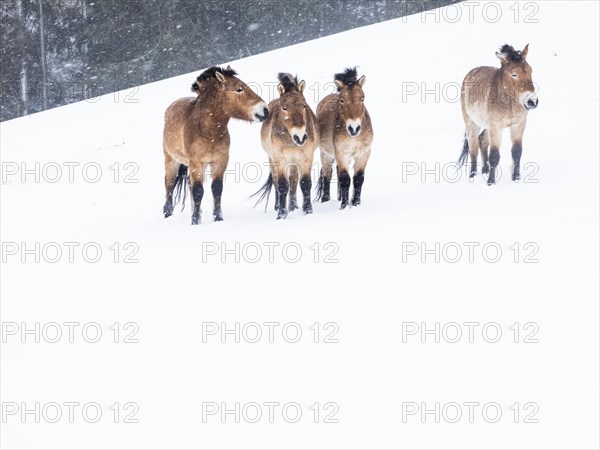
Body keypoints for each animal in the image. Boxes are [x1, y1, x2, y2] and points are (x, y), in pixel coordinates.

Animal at [163, 66, 268, 225]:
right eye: (239, 89)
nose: (265, 110)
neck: (208, 131)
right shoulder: (196, 163)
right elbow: (198, 191)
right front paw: (195, 222)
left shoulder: (220, 160)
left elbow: (216, 188)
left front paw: (217, 218)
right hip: (171, 160)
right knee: (169, 184)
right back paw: (167, 213)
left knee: (189, 184)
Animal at [252, 72, 318, 220]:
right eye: (284, 108)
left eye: (304, 105)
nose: (300, 137)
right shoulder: (279, 160)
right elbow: (282, 185)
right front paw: (281, 214)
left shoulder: (306, 158)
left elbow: (305, 183)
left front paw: (308, 211)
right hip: (273, 161)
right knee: (277, 182)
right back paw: (278, 207)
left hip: (293, 162)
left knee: (293, 182)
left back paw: (293, 207)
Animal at [316, 67, 372, 210]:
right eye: (342, 100)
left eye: (362, 99)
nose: (354, 128)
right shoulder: (342, 154)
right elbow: (345, 179)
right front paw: (344, 206)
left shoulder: (364, 154)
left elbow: (358, 179)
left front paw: (355, 203)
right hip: (325, 154)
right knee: (327, 175)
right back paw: (325, 200)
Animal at [460, 44, 540, 185]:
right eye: (514, 74)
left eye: (530, 71)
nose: (532, 102)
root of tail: (470, 73)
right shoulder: (496, 127)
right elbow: (494, 155)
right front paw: (491, 182)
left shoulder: (518, 125)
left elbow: (517, 152)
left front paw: (516, 178)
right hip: (471, 123)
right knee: (473, 147)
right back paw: (473, 174)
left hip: (487, 125)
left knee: (482, 141)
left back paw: (485, 170)